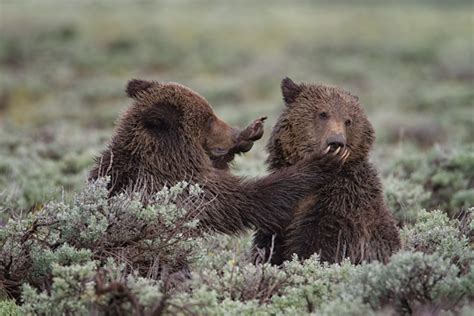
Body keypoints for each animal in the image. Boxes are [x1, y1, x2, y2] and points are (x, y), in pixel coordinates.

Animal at [252, 78, 400, 266]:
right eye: (323, 114)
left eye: (348, 120)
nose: (336, 142)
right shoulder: (281, 210)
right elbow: (267, 244)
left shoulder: (341, 205)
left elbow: (320, 247)